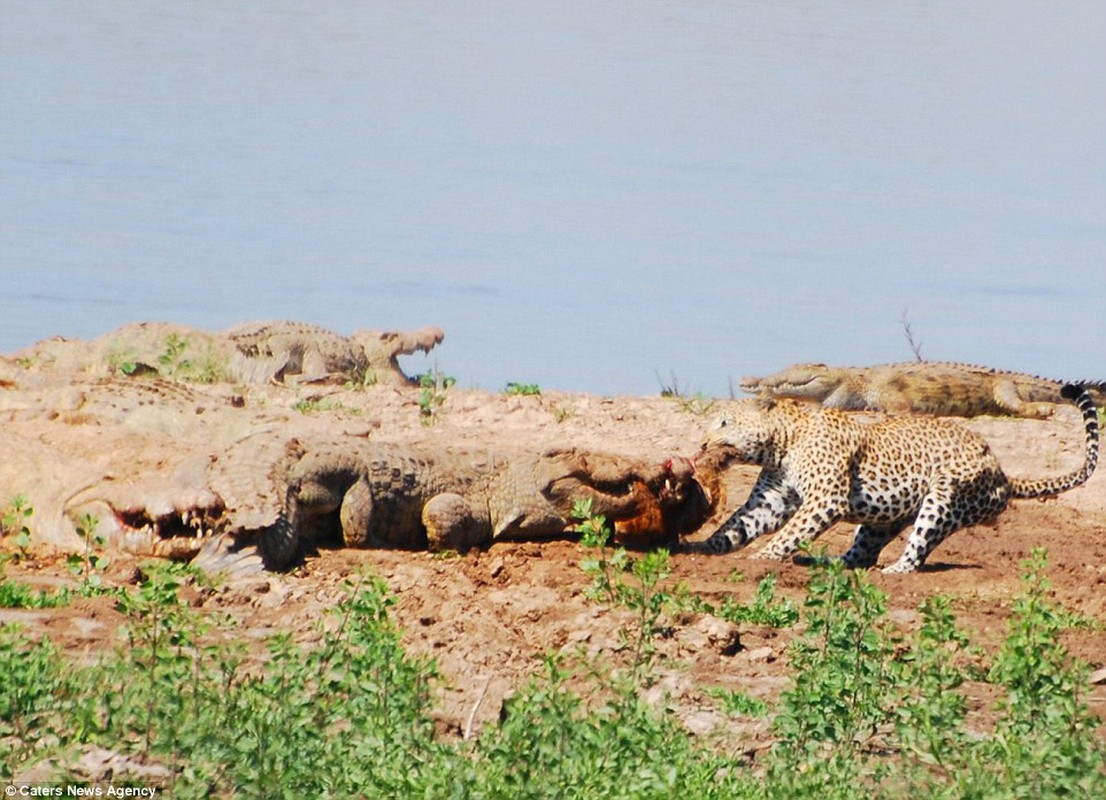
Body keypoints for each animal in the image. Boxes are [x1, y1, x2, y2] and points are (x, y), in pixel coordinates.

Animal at [681, 382, 1097, 575]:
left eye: (724, 422)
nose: (701, 443)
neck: (782, 444)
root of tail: (1004, 473)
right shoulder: (771, 500)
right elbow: (738, 525)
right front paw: (705, 547)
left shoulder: (824, 499)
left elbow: (790, 532)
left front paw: (763, 557)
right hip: (882, 519)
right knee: (862, 552)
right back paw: (829, 563)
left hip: (944, 497)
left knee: (916, 549)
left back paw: (894, 569)